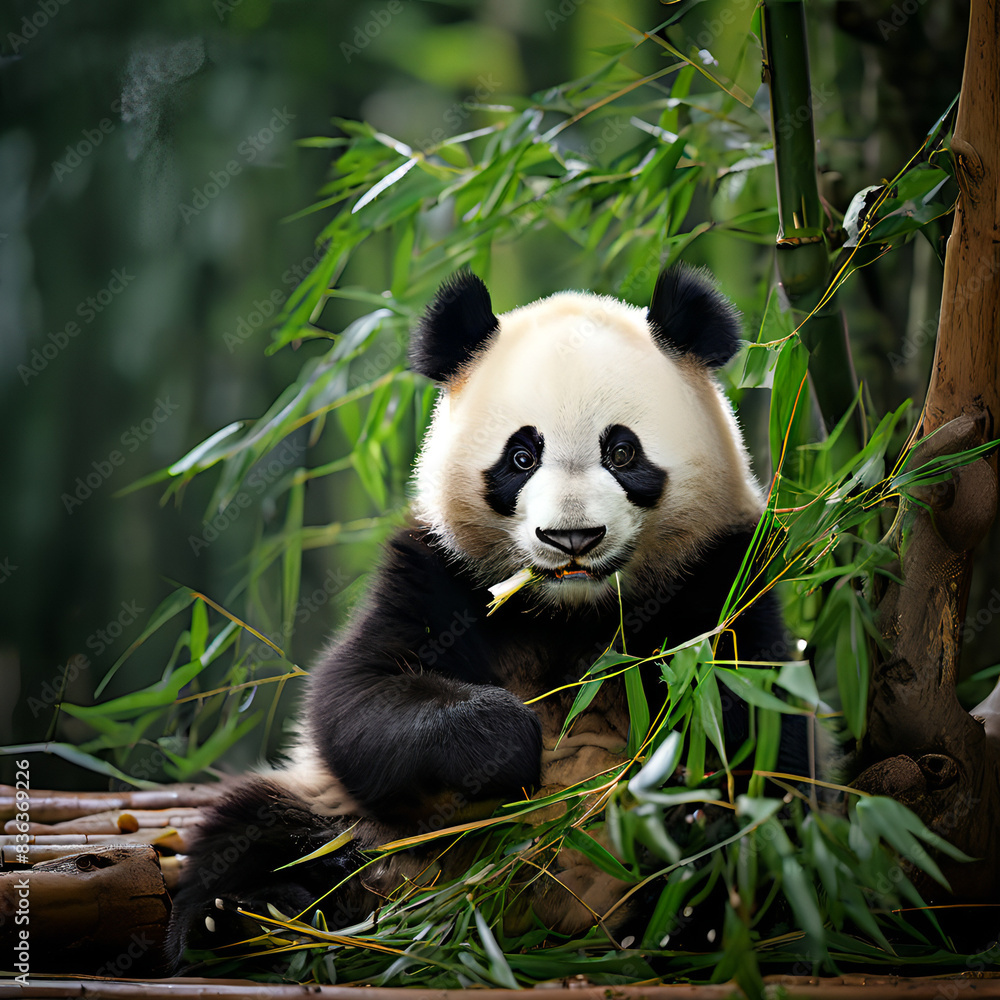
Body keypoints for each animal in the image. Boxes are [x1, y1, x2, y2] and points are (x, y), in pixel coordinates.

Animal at [166, 265, 812, 967]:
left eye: (622, 452)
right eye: (521, 457)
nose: (572, 537)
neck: (572, 613)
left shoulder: (721, 580)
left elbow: (761, 735)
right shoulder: (437, 573)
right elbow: (358, 695)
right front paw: (508, 743)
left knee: (744, 848)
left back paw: (688, 915)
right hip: (356, 823)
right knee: (258, 830)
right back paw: (241, 920)